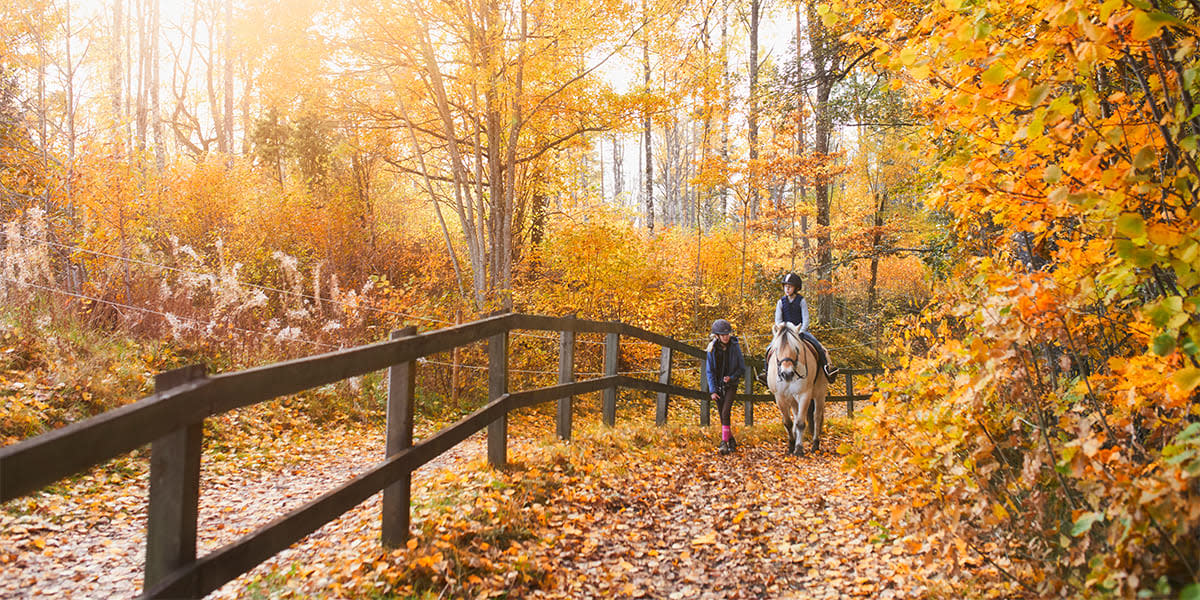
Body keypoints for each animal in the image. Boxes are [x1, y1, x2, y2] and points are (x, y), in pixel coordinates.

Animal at [763, 324, 830, 453]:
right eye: (776, 349)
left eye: (796, 349)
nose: (787, 373)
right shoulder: (780, 397)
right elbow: (788, 422)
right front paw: (791, 445)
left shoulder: (804, 395)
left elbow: (800, 423)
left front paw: (798, 448)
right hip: (793, 399)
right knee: (796, 414)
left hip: (819, 393)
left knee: (817, 417)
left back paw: (815, 444)